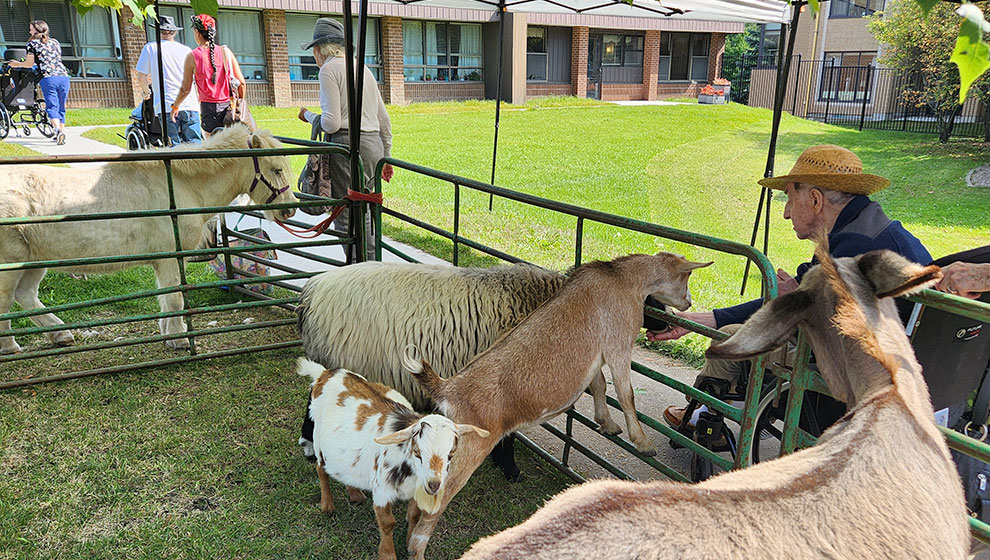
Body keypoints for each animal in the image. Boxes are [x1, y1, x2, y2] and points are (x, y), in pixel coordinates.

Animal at [297, 358, 489, 560]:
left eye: (451, 453)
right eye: (417, 451)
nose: (434, 484)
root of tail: (326, 373)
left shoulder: (416, 491)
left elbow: (414, 515)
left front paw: (409, 543)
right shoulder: (382, 490)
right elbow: (388, 522)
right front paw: (388, 554)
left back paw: (355, 494)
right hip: (319, 442)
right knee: (321, 469)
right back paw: (327, 505)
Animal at [401, 252, 710, 560]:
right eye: (687, 276)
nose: (688, 304)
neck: (621, 278)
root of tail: (448, 389)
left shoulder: (595, 357)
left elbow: (600, 385)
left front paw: (607, 424)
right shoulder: (619, 341)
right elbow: (626, 393)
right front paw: (643, 443)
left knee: (417, 502)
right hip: (469, 448)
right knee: (433, 504)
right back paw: (418, 550)